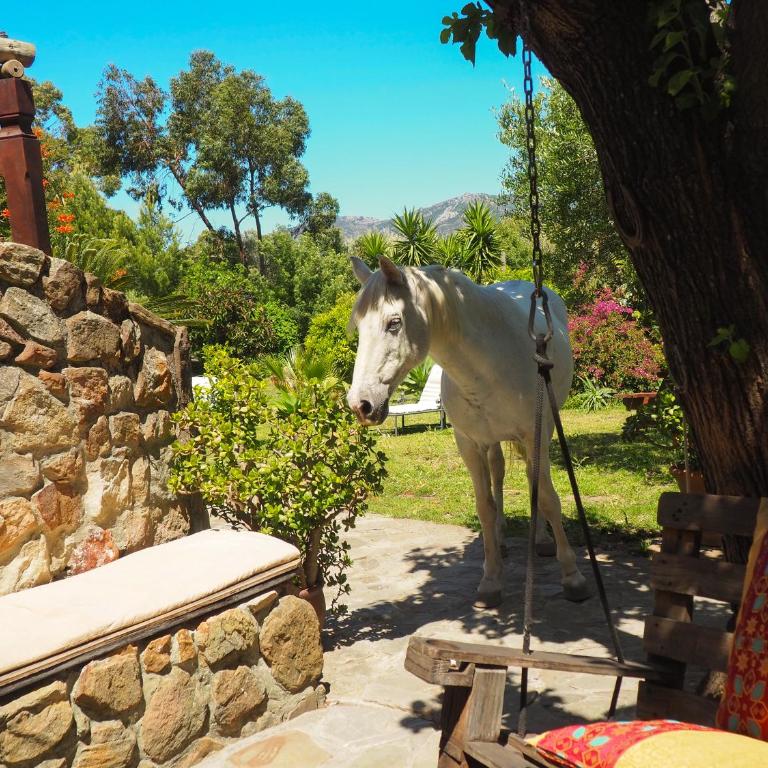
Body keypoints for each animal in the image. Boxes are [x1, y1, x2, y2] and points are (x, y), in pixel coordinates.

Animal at [346, 255, 590, 608]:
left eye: (394, 323)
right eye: (359, 327)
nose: (360, 404)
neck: (486, 364)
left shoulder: (534, 435)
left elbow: (547, 498)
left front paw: (572, 576)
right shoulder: (469, 444)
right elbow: (484, 506)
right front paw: (491, 580)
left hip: (541, 435)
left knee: (533, 482)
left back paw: (543, 541)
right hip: (491, 442)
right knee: (498, 474)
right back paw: (501, 540)